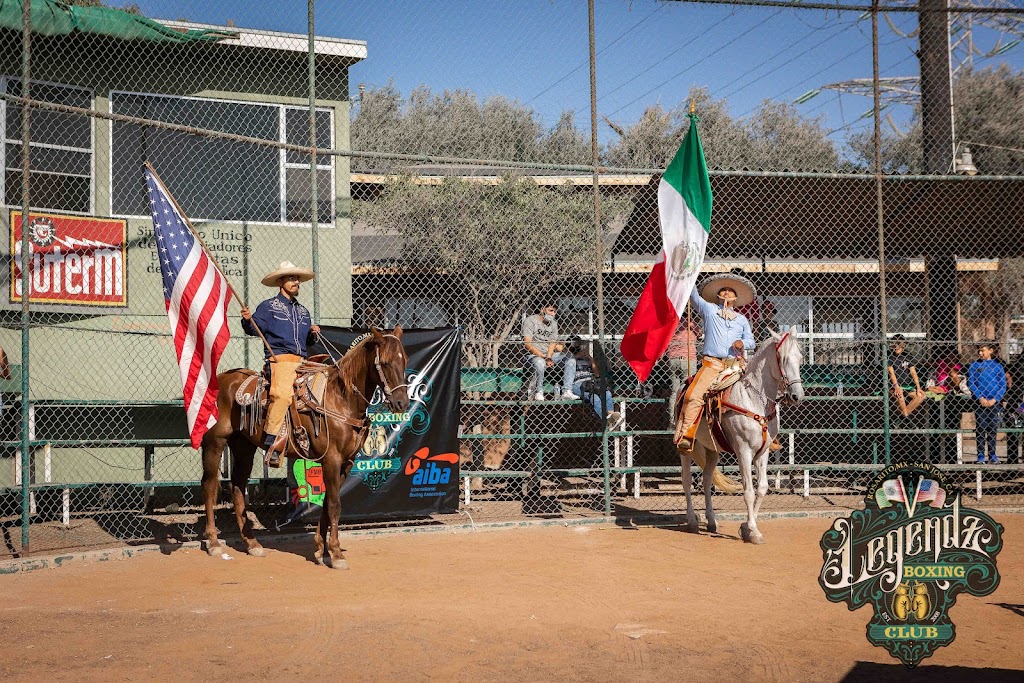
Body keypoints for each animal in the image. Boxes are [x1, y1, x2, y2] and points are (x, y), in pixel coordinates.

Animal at [197, 325, 409, 565]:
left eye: (404, 360)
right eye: (385, 362)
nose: (402, 403)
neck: (341, 399)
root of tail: (222, 378)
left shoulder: (346, 462)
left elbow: (327, 502)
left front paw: (320, 549)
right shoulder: (331, 459)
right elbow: (334, 504)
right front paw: (335, 553)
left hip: (243, 445)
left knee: (238, 486)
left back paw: (252, 544)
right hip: (215, 441)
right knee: (210, 485)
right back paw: (214, 543)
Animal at [679, 331, 806, 544]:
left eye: (800, 358)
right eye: (783, 359)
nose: (797, 395)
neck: (754, 400)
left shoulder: (762, 452)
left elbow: (761, 488)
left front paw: (746, 527)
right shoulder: (743, 450)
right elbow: (748, 491)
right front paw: (753, 531)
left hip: (712, 450)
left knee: (706, 480)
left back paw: (712, 521)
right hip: (687, 448)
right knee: (687, 480)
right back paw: (692, 521)